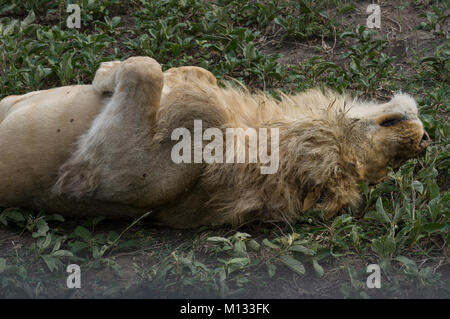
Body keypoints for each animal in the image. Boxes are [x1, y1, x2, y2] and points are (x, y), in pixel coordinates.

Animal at [0, 56, 428, 229]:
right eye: (379, 169)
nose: (424, 141)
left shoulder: (103, 174)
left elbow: (148, 70)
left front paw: (108, 72)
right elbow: (191, 72)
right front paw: (178, 74)